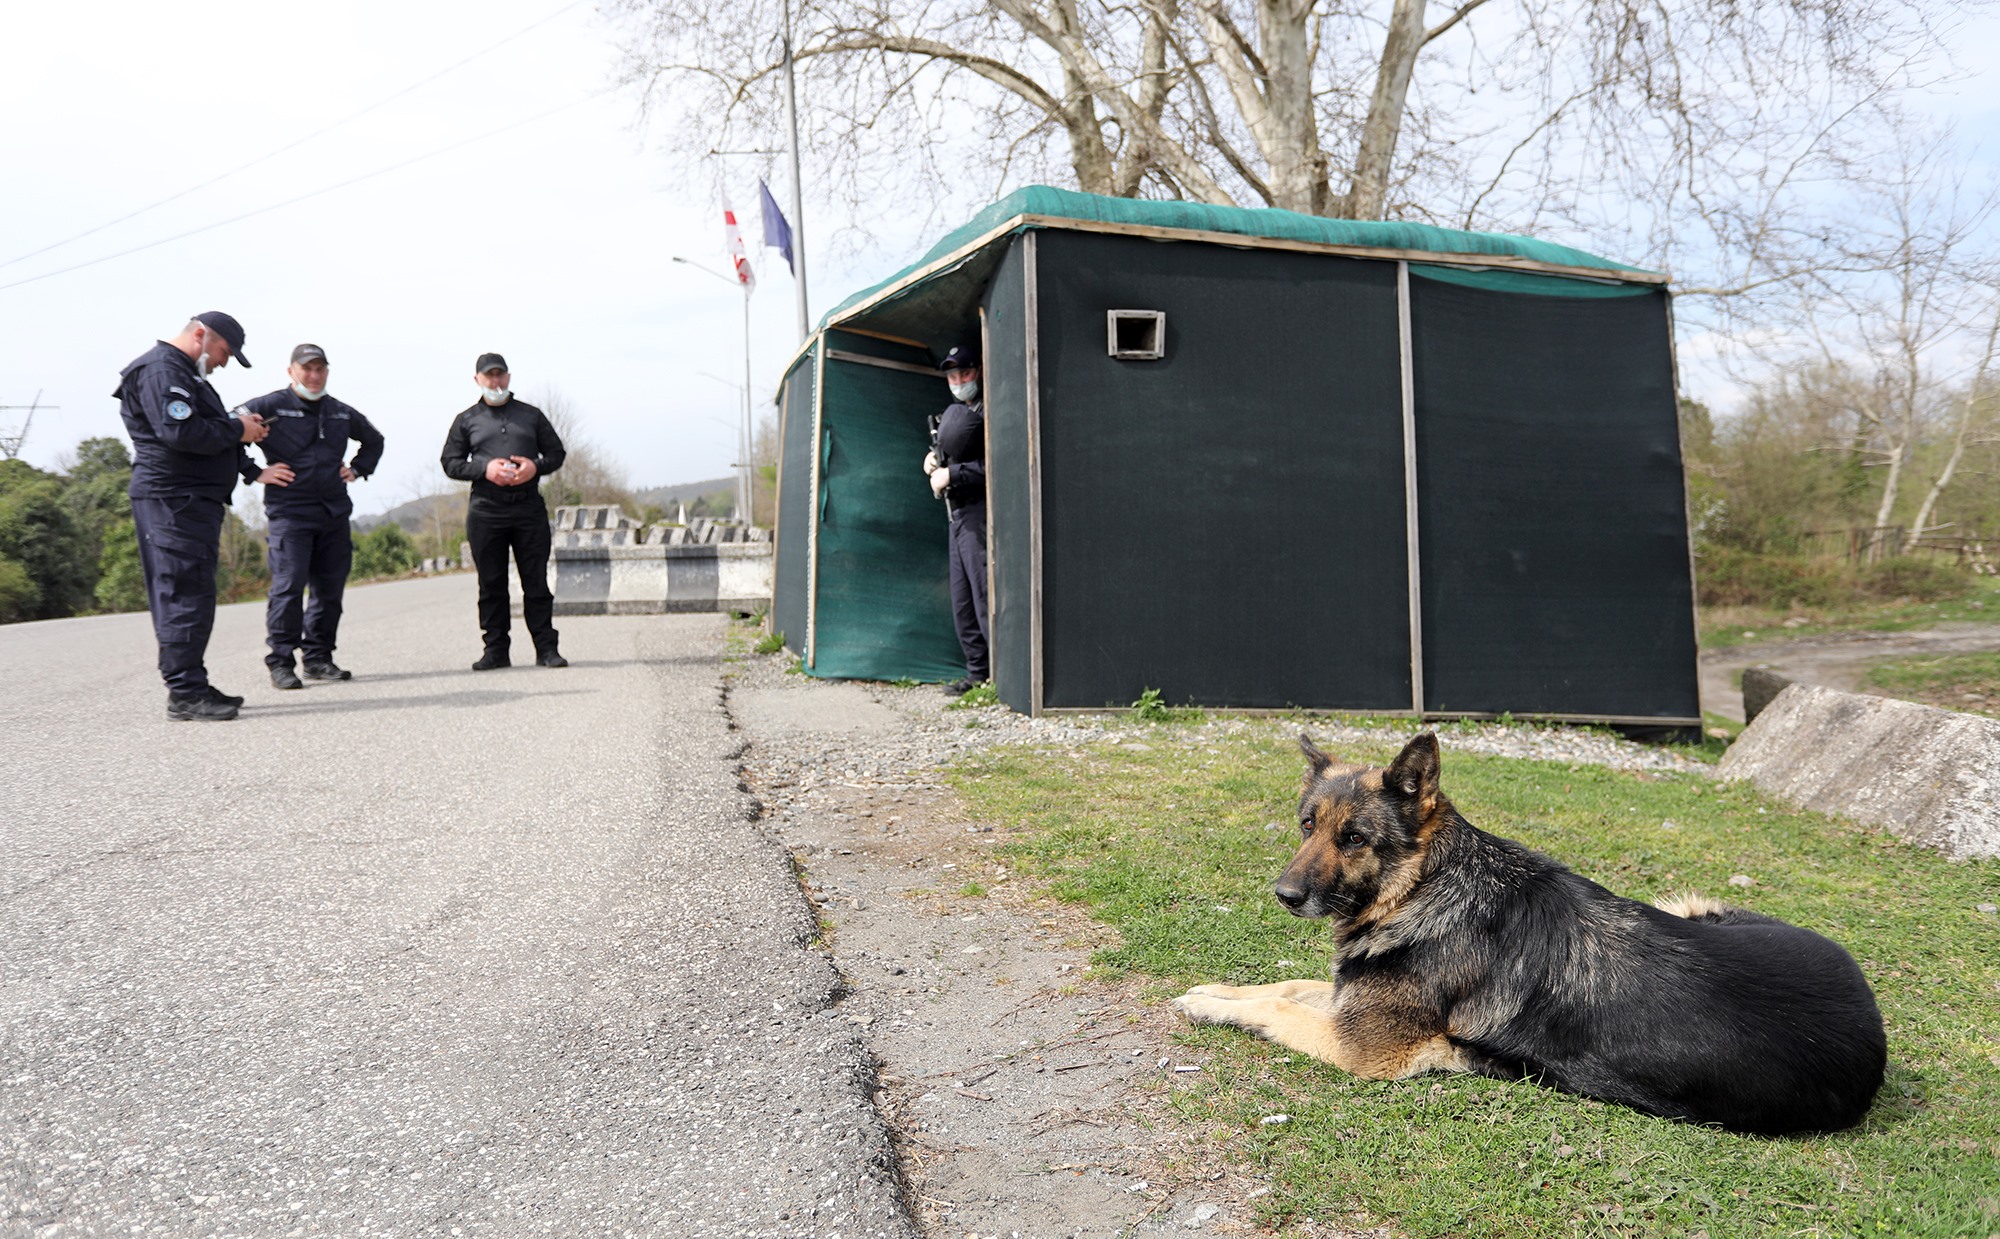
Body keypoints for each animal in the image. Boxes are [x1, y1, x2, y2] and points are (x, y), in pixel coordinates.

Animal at [1168, 735, 1880, 1135]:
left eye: (1354, 839)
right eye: (1306, 826)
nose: (1284, 895)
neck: (1427, 888)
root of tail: (1871, 1016)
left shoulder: (1356, 1046)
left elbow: (1279, 1005)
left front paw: (1211, 1005)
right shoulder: (1348, 1002)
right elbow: (1284, 984)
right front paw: (1212, 991)